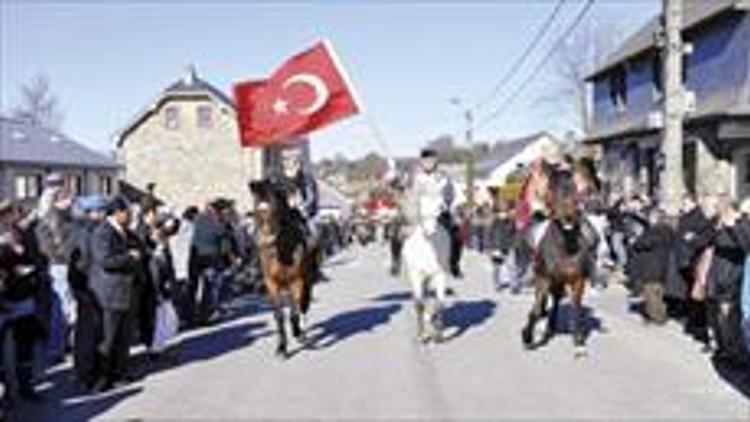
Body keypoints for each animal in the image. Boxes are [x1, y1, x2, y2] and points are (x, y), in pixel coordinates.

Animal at [250, 180, 312, 358]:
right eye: (255, 209)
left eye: (275, 208)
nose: (266, 241)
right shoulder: (271, 284)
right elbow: (279, 315)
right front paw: (281, 347)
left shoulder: (297, 280)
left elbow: (295, 309)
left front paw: (299, 335)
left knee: (302, 304)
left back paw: (301, 332)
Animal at [524, 165, 600, 356]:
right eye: (551, 189)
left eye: (575, 189)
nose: (567, 216)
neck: (566, 246)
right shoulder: (544, 277)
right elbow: (536, 309)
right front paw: (527, 337)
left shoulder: (577, 280)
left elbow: (576, 307)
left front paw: (578, 343)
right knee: (547, 300)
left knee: (557, 299)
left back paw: (551, 326)